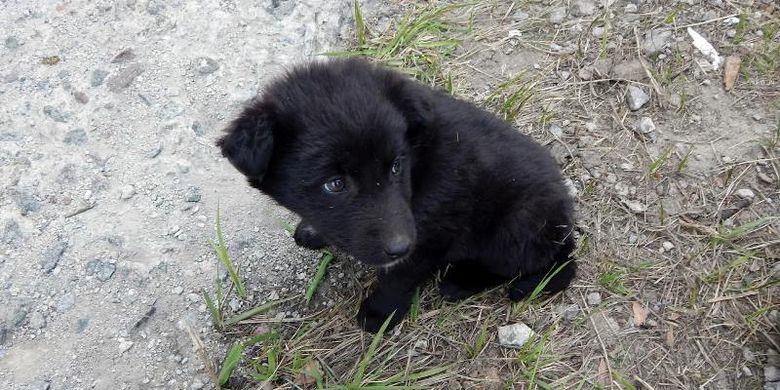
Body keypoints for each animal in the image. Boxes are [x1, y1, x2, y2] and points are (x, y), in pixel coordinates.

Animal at [216, 58, 576, 332]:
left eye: (395, 166)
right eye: (335, 184)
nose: (400, 246)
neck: (418, 163)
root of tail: (566, 224)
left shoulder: (431, 232)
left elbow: (399, 277)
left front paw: (378, 314)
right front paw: (312, 230)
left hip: (516, 224)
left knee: (524, 264)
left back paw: (462, 280)